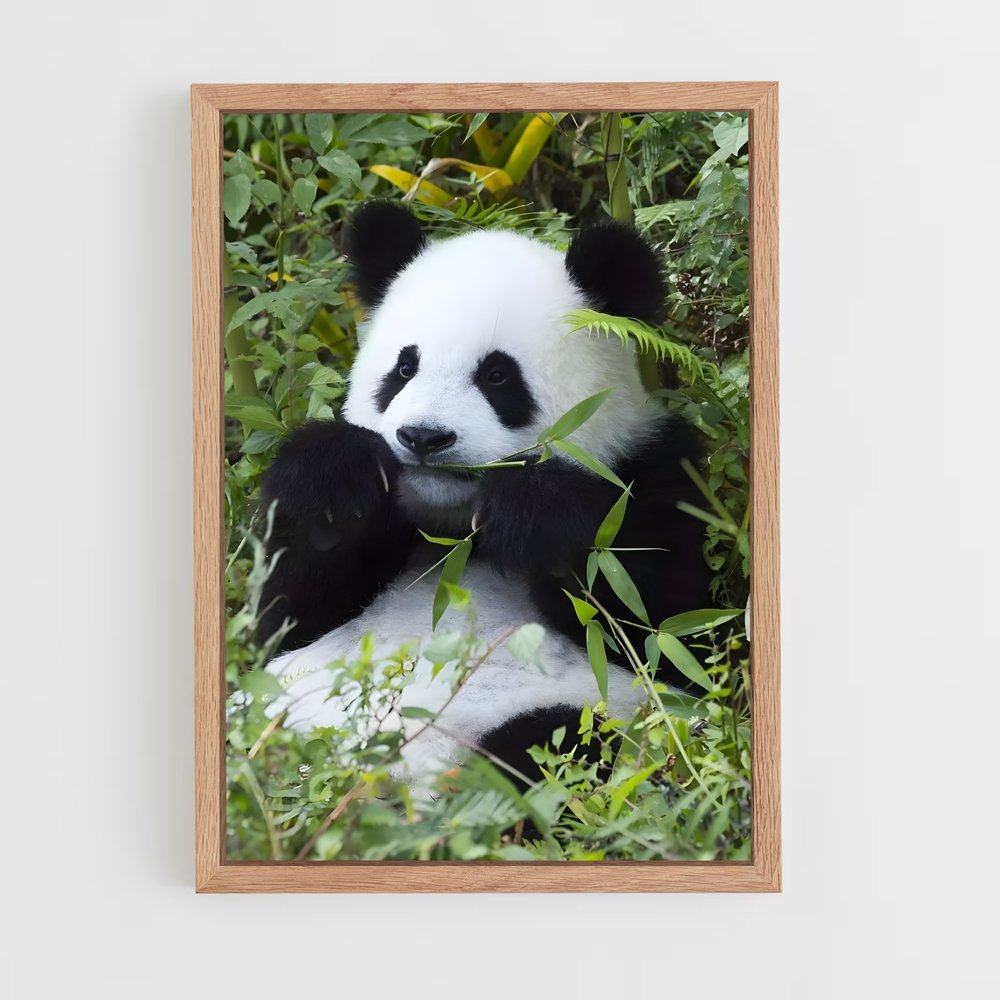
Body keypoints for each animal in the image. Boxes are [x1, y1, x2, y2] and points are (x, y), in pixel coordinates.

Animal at [259, 201, 712, 788]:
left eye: (497, 376)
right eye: (404, 368)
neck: (451, 531)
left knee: (556, 743)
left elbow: (663, 631)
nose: (424, 437)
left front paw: (532, 510)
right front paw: (335, 475)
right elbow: (286, 617)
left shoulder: (652, 470)